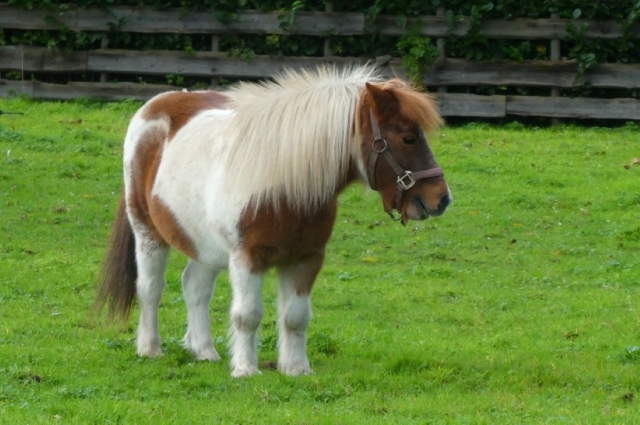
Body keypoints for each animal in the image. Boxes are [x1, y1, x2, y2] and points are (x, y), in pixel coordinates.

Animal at [95, 64, 452, 377]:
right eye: (408, 138)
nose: (442, 199)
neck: (282, 186)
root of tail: (156, 104)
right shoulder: (246, 258)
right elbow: (247, 315)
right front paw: (245, 369)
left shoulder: (306, 258)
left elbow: (296, 316)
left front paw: (295, 369)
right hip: (147, 232)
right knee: (150, 288)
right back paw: (150, 348)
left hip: (204, 245)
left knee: (195, 287)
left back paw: (205, 351)